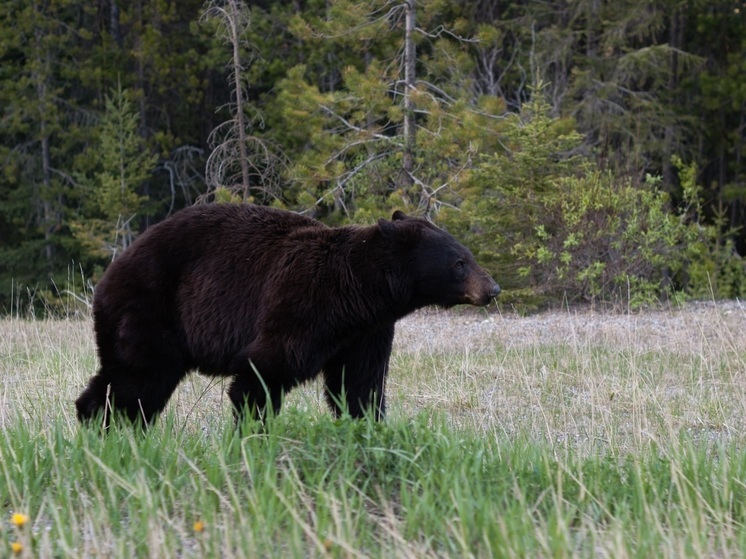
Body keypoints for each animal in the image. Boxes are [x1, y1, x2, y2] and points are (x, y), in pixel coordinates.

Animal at [74, 205, 500, 424]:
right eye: (459, 262)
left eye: (468, 255)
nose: (492, 288)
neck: (358, 292)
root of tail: (109, 274)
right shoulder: (301, 303)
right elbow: (264, 371)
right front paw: (253, 432)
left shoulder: (368, 331)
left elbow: (359, 383)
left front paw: (368, 427)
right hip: (150, 309)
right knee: (140, 379)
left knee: (126, 381)